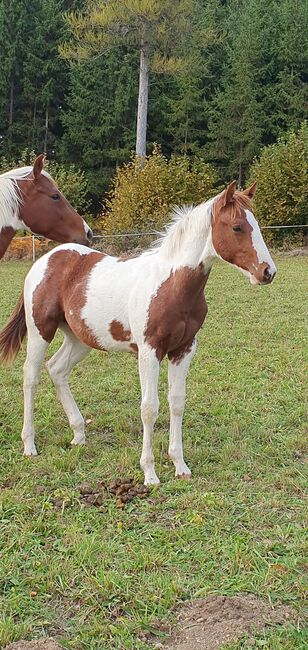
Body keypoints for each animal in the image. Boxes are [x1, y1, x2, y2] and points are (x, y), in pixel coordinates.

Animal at [0, 180, 276, 484]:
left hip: (80, 338)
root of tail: (46, 259)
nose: (267, 272)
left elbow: (176, 403)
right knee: (31, 376)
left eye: (256, 224)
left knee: (57, 369)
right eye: (237, 227)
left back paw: (79, 434)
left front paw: (180, 465)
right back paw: (29, 444)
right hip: (41, 330)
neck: (171, 284)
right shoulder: (149, 350)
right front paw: (150, 473)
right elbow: (149, 408)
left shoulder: (184, 349)